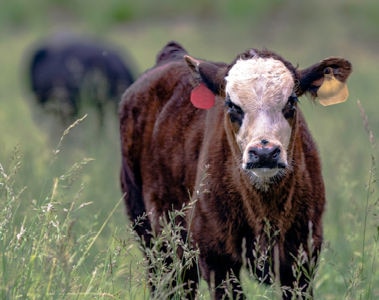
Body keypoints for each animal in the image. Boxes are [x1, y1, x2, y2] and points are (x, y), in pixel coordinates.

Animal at [119, 41, 354, 298]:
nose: (264, 152)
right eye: (232, 106)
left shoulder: (304, 256)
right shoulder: (216, 257)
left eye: (291, 101)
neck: (265, 211)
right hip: (151, 235)